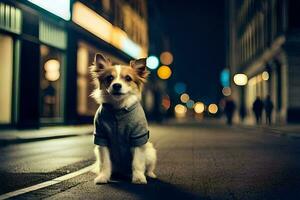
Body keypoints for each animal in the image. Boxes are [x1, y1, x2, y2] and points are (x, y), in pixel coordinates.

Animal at [90, 53, 157, 184]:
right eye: (109, 78)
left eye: (128, 78)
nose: (116, 85)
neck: (118, 109)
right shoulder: (102, 138)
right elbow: (105, 163)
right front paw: (103, 177)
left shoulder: (138, 137)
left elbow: (137, 162)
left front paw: (138, 178)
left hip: (150, 152)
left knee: (149, 167)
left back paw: (150, 174)